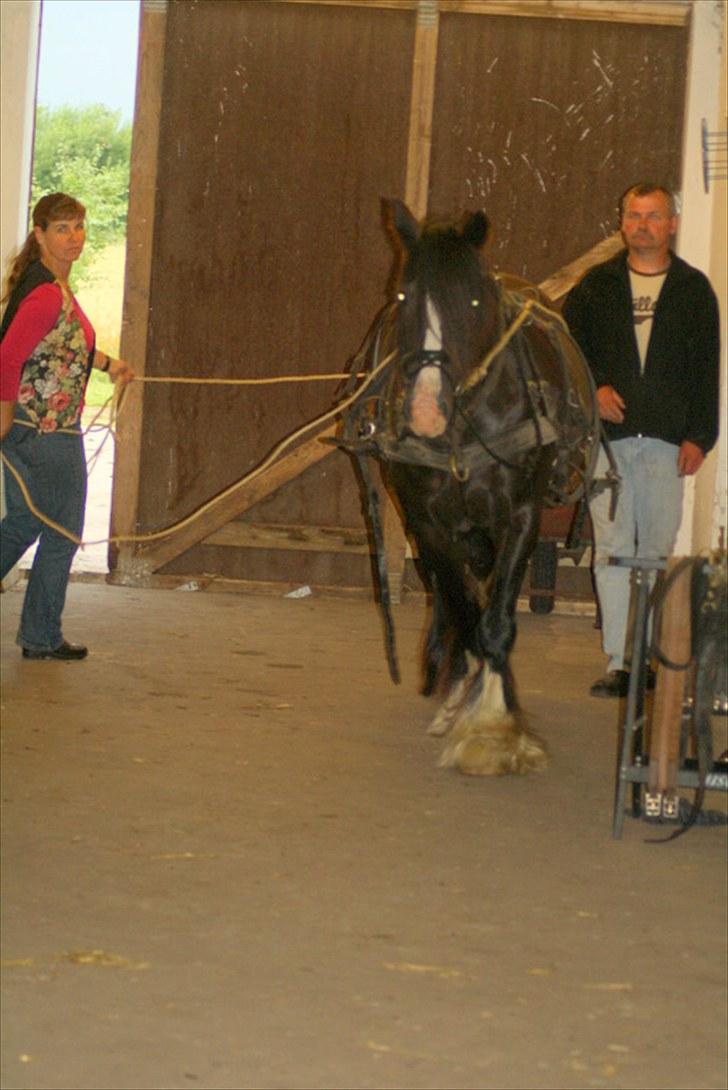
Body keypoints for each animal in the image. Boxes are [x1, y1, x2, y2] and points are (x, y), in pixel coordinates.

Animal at [337, 198, 601, 776]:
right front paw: (468, 702)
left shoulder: (522, 516)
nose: (425, 412)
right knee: (451, 594)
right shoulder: (427, 520)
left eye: (474, 298)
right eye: (403, 296)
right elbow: (462, 605)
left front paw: (494, 728)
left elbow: (496, 619)